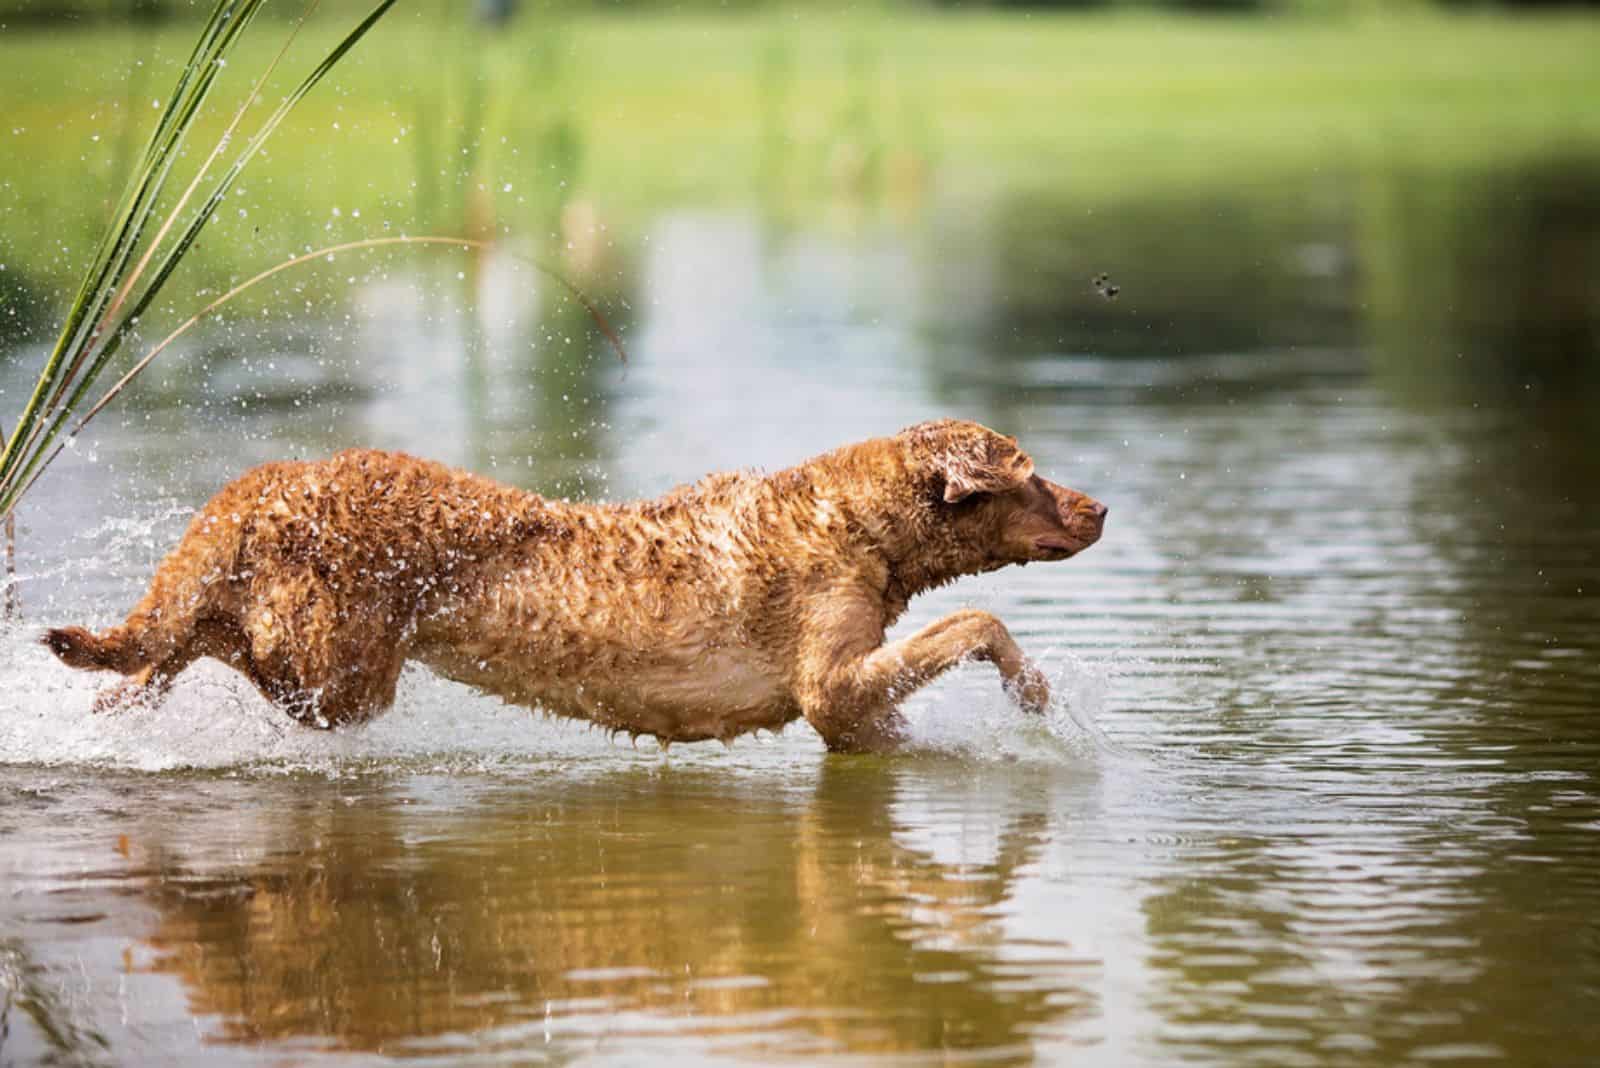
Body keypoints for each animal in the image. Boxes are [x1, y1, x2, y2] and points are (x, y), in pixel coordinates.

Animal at [43, 415, 1107, 751]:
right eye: (1030, 473)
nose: (1101, 507)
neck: (856, 525)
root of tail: (268, 481)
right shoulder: (830, 690)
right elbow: (978, 618)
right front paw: (1033, 689)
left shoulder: (855, 718)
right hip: (338, 673)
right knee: (217, 641)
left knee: (178, 640)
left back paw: (119, 695)